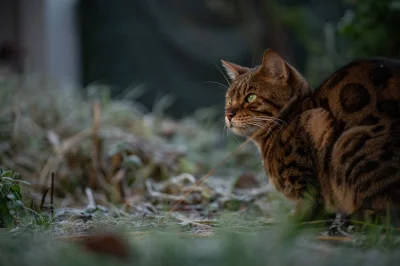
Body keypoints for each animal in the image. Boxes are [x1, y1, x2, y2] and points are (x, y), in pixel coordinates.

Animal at [222, 48, 400, 223]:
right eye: (229, 99)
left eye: (250, 97)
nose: (228, 114)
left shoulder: (316, 120)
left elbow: (310, 204)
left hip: (348, 145)